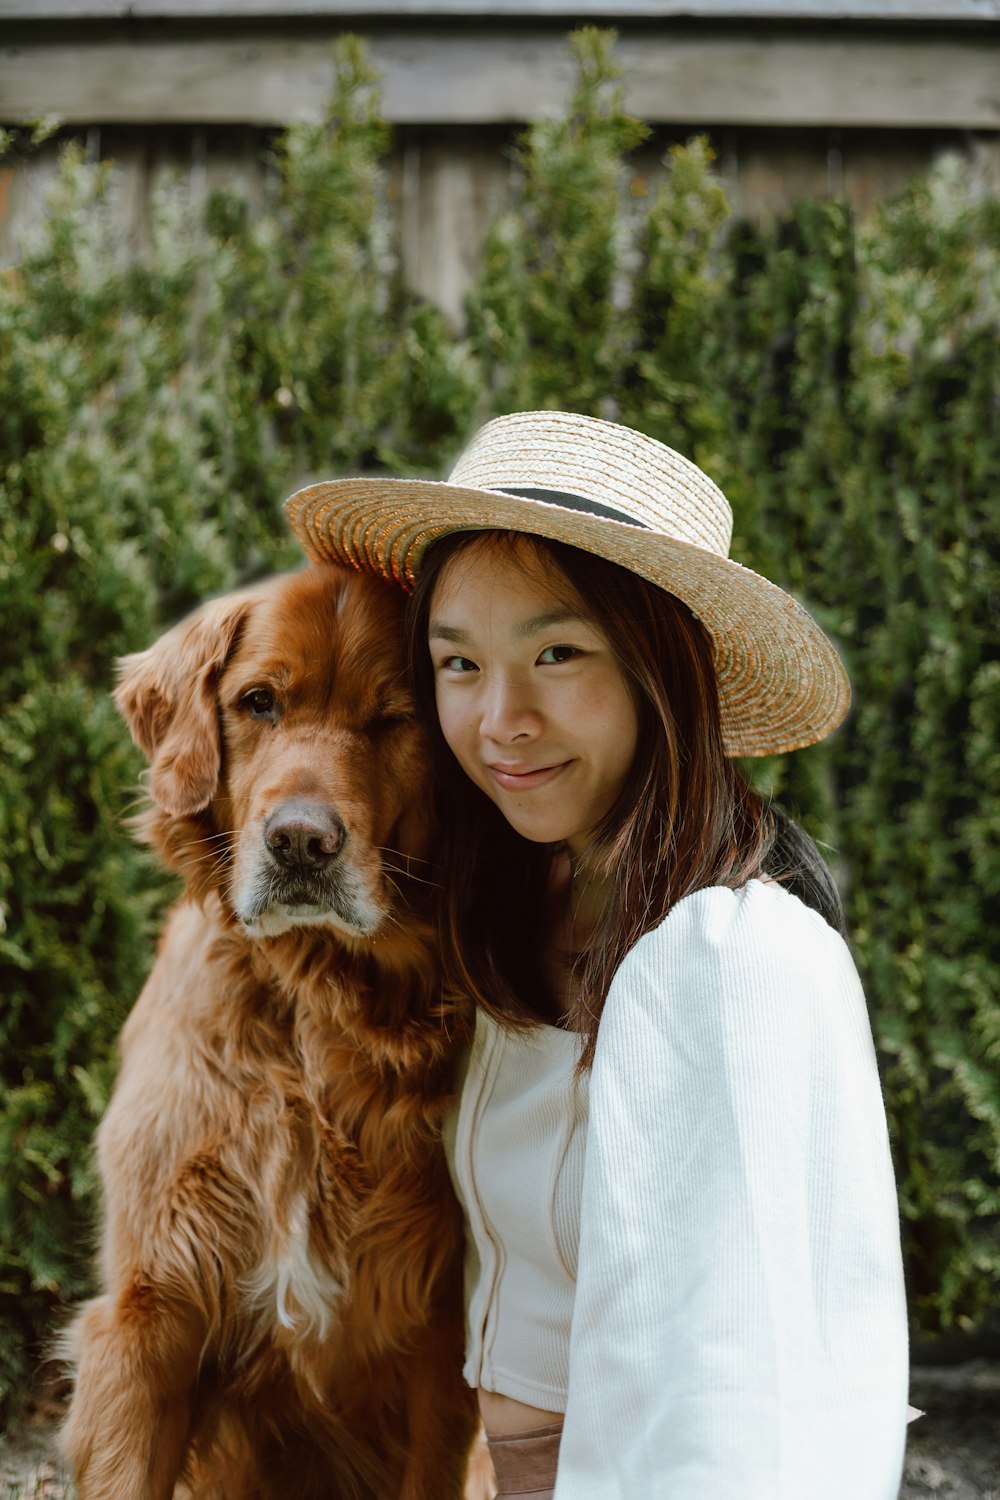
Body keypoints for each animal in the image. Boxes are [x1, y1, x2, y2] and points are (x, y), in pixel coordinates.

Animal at [61, 564, 485, 1500]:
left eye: (394, 718)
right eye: (259, 702)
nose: (300, 842)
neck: (310, 1007)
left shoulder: (444, 1344)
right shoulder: (149, 1317)